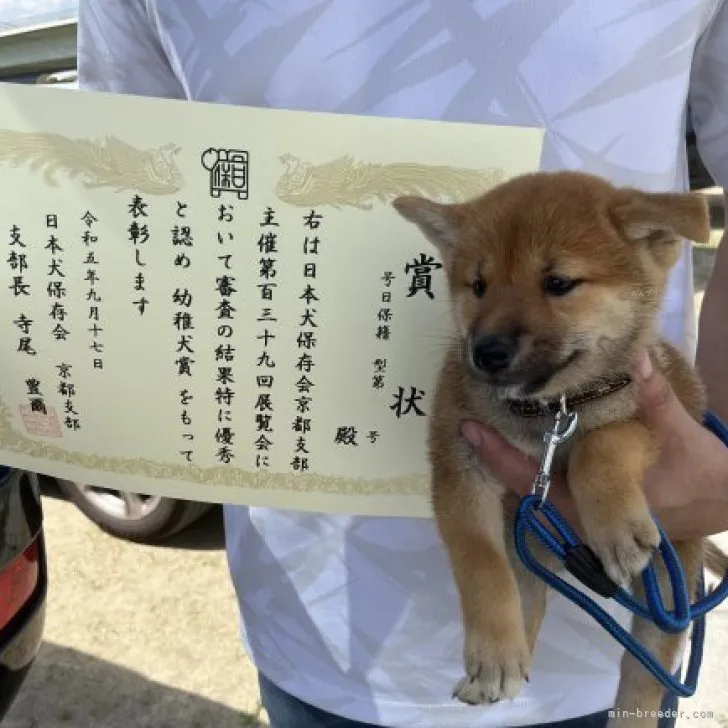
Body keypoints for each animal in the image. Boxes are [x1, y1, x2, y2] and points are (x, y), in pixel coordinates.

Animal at [392, 172, 716, 728]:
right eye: (478, 285)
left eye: (559, 283)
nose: (486, 352)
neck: (551, 412)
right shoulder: (460, 468)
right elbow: (481, 565)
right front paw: (494, 652)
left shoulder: (654, 424)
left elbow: (601, 444)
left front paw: (614, 526)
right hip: (527, 538)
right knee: (527, 596)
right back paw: (504, 659)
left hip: (670, 592)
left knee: (643, 675)